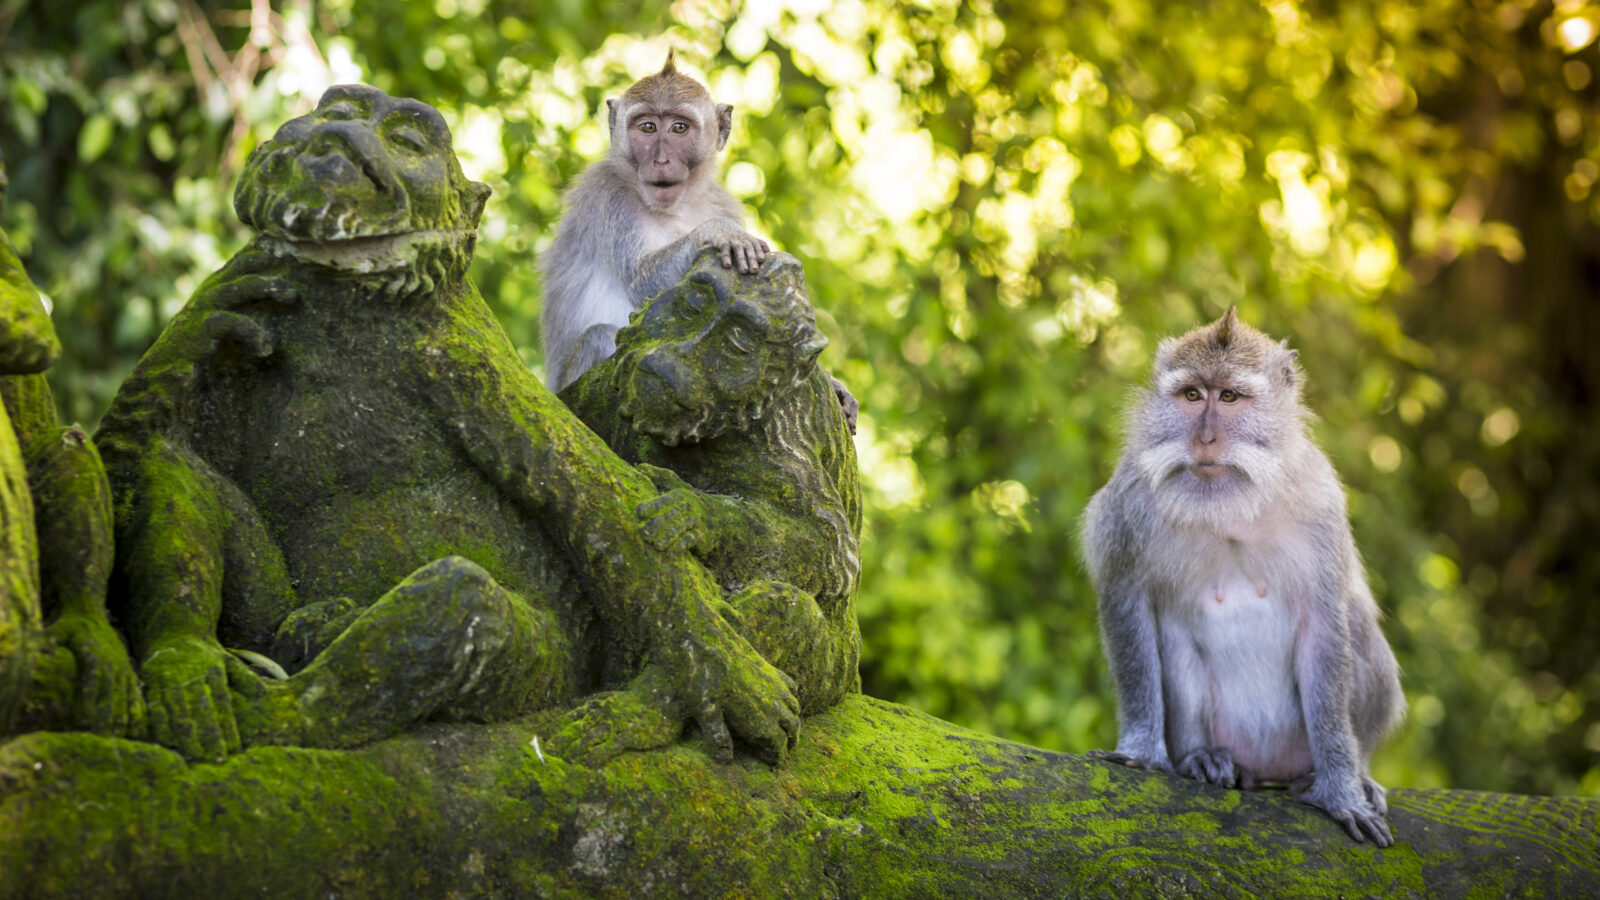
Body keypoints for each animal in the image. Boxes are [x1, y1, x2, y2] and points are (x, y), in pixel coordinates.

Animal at [539, 50, 770, 395]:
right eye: (648, 127)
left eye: (679, 128)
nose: (661, 160)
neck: (675, 207)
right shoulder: (609, 196)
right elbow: (640, 282)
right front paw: (718, 232)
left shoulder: (722, 202)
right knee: (601, 336)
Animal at [1080, 306, 1405, 847]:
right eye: (1193, 396)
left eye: (1229, 396)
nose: (1205, 439)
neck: (1229, 505)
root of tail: (1265, 769)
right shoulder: (1130, 502)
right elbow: (1127, 601)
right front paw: (1143, 750)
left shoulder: (1320, 502)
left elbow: (1325, 626)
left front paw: (1341, 790)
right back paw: (1202, 758)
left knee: (1357, 625)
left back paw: (1346, 772)